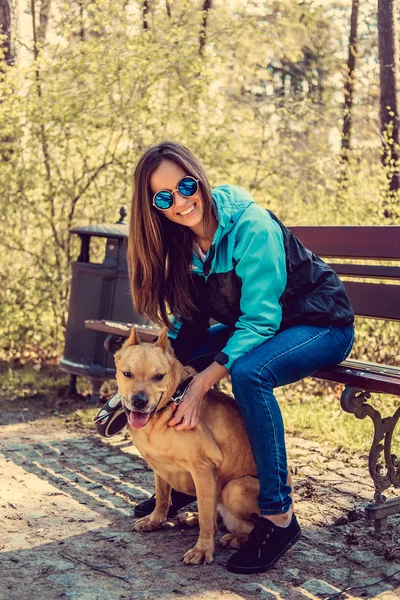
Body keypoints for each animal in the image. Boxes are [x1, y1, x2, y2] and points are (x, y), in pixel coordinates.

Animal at [114, 328, 292, 568]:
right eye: (127, 374)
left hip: (235, 488)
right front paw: (155, 521)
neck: (166, 409)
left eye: (158, 376)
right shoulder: (160, 468)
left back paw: (237, 539)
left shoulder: (203, 470)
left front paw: (203, 549)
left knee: (242, 525)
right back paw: (192, 518)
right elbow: (162, 498)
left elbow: (207, 519)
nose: (139, 401)